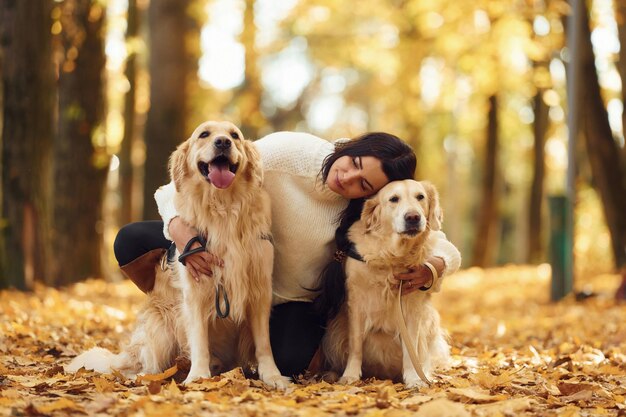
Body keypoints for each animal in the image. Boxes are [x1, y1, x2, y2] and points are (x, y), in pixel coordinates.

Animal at [66, 122, 288, 388]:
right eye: (204, 134)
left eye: (235, 135)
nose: (223, 142)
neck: (223, 208)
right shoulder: (194, 291)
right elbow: (199, 339)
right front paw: (198, 376)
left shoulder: (260, 288)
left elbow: (264, 343)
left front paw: (273, 376)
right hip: (160, 326)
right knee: (142, 365)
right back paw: (147, 376)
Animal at [322, 179, 448, 386]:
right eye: (394, 199)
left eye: (420, 197)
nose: (413, 217)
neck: (392, 258)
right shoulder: (356, 303)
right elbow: (355, 345)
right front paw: (350, 375)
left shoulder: (412, 309)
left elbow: (411, 349)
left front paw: (414, 378)